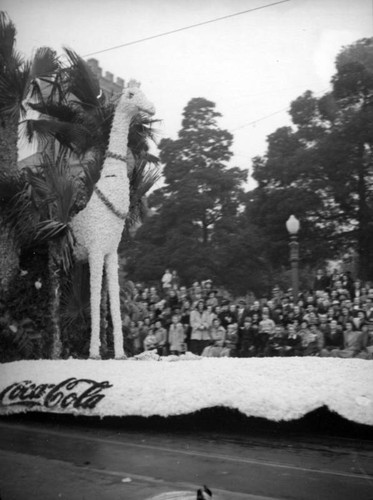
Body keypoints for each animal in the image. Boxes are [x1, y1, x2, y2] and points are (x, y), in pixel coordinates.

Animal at [70, 80, 155, 358]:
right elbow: (97, 297)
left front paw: (119, 352)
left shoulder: (111, 253)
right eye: (131, 94)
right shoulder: (96, 251)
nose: (151, 108)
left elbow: (114, 301)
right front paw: (95, 352)